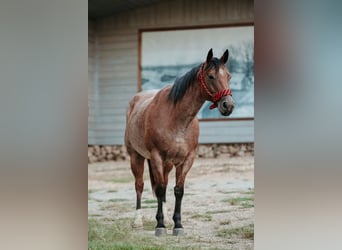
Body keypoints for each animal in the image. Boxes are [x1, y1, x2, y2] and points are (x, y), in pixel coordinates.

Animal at [124, 48, 234, 236]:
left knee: (163, 186)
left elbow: (178, 190)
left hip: (167, 164)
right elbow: (160, 189)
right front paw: (160, 226)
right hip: (136, 157)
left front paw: (177, 225)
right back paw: (137, 222)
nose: (228, 105)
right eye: (211, 76)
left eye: (228, 76)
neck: (176, 119)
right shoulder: (156, 157)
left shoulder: (186, 160)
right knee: (140, 185)